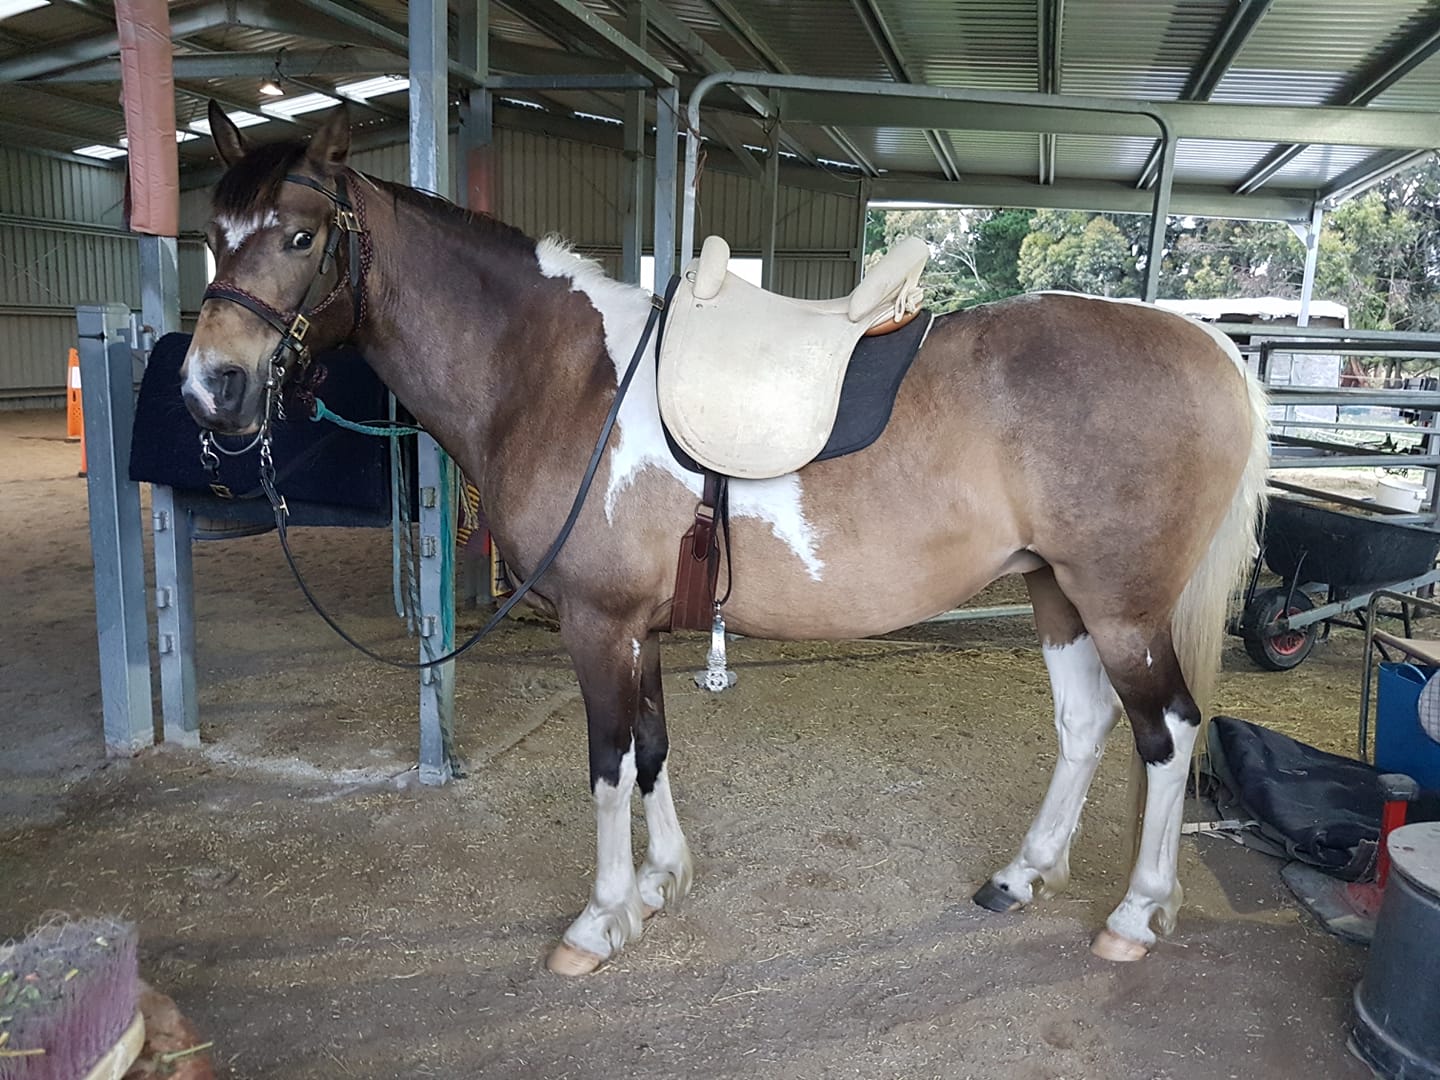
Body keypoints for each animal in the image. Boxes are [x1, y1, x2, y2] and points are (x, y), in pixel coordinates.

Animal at [182, 101, 1272, 979]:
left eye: (300, 235)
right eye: (211, 238)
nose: (210, 390)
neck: (559, 376)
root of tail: (1210, 346)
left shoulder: (597, 622)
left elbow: (608, 760)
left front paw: (601, 920)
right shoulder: (639, 626)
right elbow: (654, 747)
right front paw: (661, 883)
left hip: (1121, 605)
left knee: (1169, 733)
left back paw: (1133, 913)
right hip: (1057, 594)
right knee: (1085, 726)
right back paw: (1023, 874)